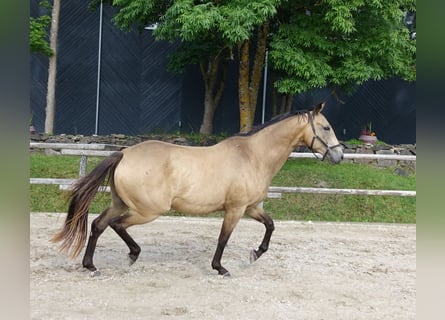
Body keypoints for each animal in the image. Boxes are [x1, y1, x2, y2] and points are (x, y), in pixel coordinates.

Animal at [52, 102, 344, 276]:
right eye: (326, 127)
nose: (339, 156)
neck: (252, 155)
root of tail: (123, 154)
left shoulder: (251, 207)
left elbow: (270, 225)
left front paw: (256, 254)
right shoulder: (235, 209)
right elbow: (223, 238)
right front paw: (220, 268)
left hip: (120, 203)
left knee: (98, 225)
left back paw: (91, 265)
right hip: (147, 211)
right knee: (116, 225)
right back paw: (131, 255)